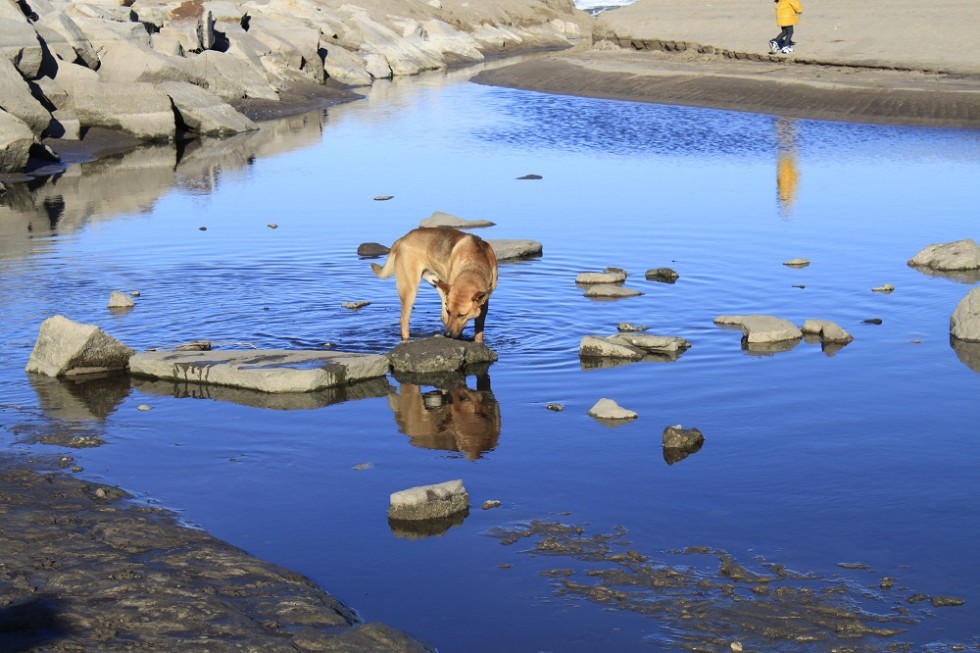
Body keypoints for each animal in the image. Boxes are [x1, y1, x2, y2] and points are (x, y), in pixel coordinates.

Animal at [374, 227, 502, 342]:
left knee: (442, 317)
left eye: (462, 315)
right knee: (404, 320)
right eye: (450, 311)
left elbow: (479, 332)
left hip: (437, 284)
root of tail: (402, 239)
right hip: (409, 290)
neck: (473, 266)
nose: (447, 335)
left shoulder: (484, 304)